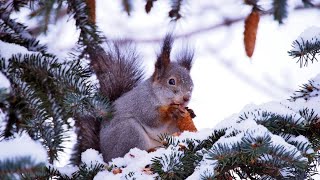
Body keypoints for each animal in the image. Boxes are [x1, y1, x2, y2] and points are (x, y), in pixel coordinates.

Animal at [78, 34, 196, 163]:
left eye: (191, 84)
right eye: (171, 81)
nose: (186, 98)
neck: (157, 96)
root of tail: (105, 156)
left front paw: (190, 112)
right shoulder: (142, 104)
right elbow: (152, 119)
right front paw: (171, 111)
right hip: (129, 131)